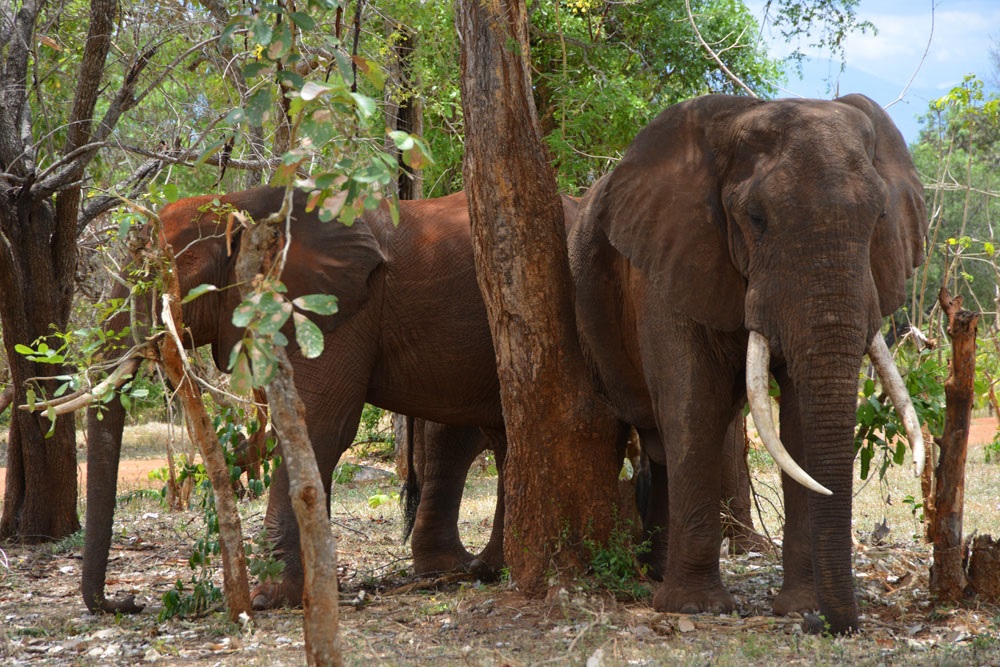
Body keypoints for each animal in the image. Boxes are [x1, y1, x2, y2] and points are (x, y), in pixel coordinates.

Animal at [85, 185, 540, 612]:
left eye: (157, 274)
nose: (127, 602)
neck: (246, 204)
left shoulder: (329, 309)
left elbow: (317, 426)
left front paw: (271, 599)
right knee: (479, 435)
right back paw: (474, 569)